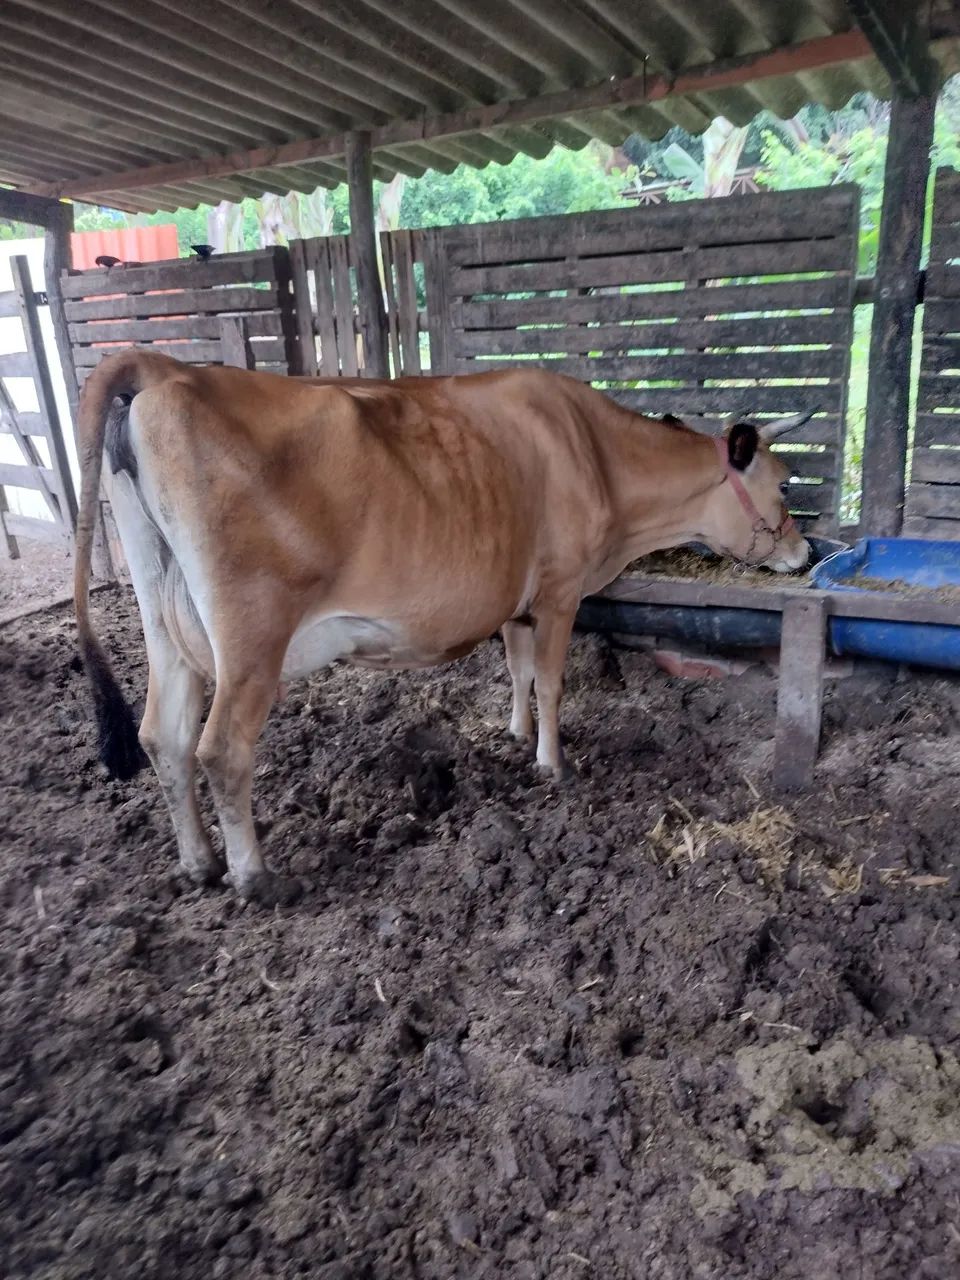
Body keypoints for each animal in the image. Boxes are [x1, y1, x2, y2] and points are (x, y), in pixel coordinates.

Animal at [74, 350, 813, 904]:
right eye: (784, 484)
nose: (805, 554)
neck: (597, 454)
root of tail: (166, 369)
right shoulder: (561, 589)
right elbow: (551, 681)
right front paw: (553, 764)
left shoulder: (516, 597)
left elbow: (518, 670)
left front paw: (515, 737)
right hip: (251, 635)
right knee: (221, 748)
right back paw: (256, 878)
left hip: (163, 619)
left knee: (163, 735)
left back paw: (198, 863)